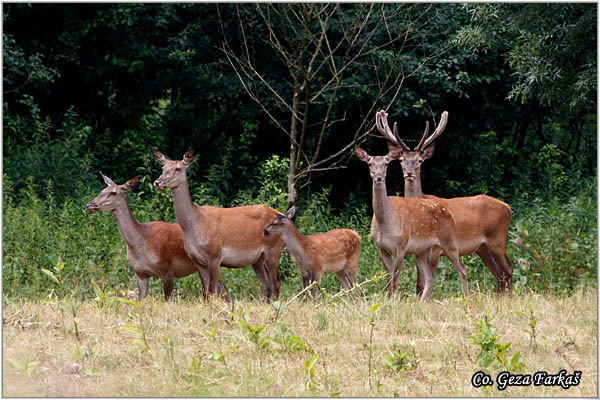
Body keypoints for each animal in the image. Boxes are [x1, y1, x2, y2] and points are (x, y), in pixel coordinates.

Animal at [86, 172, 230, 300]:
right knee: (223, 288)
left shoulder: (167, 268)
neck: (141, 241)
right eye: (102, 190)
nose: (89, 204)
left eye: (113, 192)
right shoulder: (140, 273)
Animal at [151, 147, 284, 300]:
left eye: (178, 168)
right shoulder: (197, 261)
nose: (157, 182)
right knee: (267, 284)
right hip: (258, 259)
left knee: (276, 282)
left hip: (273, 250)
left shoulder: (216, 256)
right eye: (163, 168)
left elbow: (212, 290)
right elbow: (205, 291)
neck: (195, 225)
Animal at [356, 145, 468, 302]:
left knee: (462, 269)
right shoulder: (381, 248)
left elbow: (395, 280)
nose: (378, 177)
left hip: (449, 241)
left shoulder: (401, 246)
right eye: (370, 163)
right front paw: (390, 300)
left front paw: (394, 302)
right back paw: (421, 303)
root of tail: (449, 213)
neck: (385, 223)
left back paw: (467, 298)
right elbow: (389, 280)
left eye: (386, 163)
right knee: (430, 276)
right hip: (421, 250)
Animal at [378, 109, 512, 294]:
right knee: (499, 274)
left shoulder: (436, 249)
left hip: (497, 239)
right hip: (483, 247)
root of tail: (508, 208)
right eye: (401, 160)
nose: (409, 173)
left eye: (420, 160)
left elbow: (428, 279)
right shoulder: (419, 248)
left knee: (508, 270)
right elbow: (419, 284)